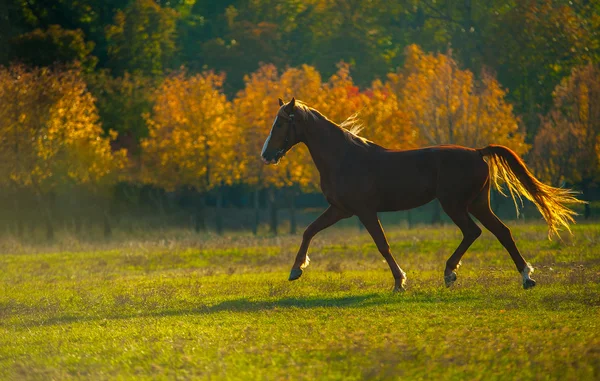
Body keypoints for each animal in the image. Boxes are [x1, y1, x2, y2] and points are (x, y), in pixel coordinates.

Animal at [260, 98, 584, 290]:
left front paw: (399, 281)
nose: (265, 155)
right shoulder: (341, 210)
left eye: (281, 123)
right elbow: (309, 231)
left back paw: (451, 273)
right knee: (501, 232)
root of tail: (477, 152)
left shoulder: (364, 211)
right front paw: (296, 269)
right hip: (477, 204)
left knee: (474, 232)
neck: (344, 157)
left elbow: (382, 245)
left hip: (454, 204)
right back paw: (525, 277)